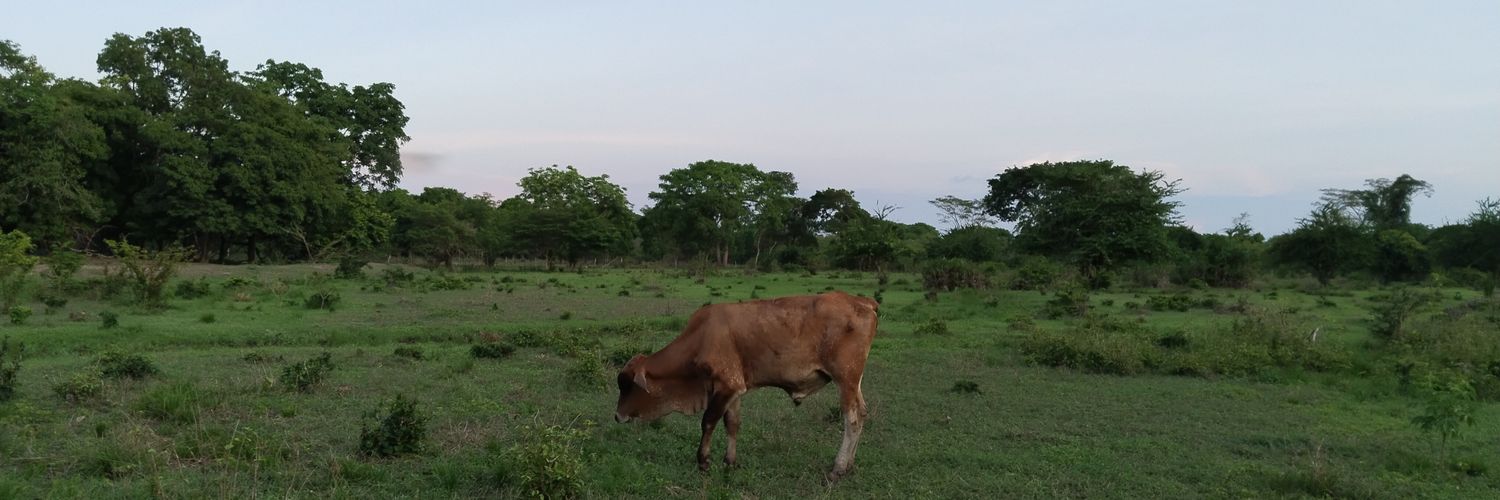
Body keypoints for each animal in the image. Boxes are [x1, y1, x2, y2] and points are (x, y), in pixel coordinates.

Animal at [612, 292, 876, 480]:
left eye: (626, 385)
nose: (617, 416)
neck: (702, 337)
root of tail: (863, 301)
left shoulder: (726, 385)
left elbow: (708, 422)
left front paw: (703, 461)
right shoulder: (734, 388)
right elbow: (732, 424)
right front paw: (730, 462)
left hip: (846, 379)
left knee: (851, 419)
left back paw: (838, 468)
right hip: (855, 381)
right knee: (862, 414)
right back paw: (849, 465)